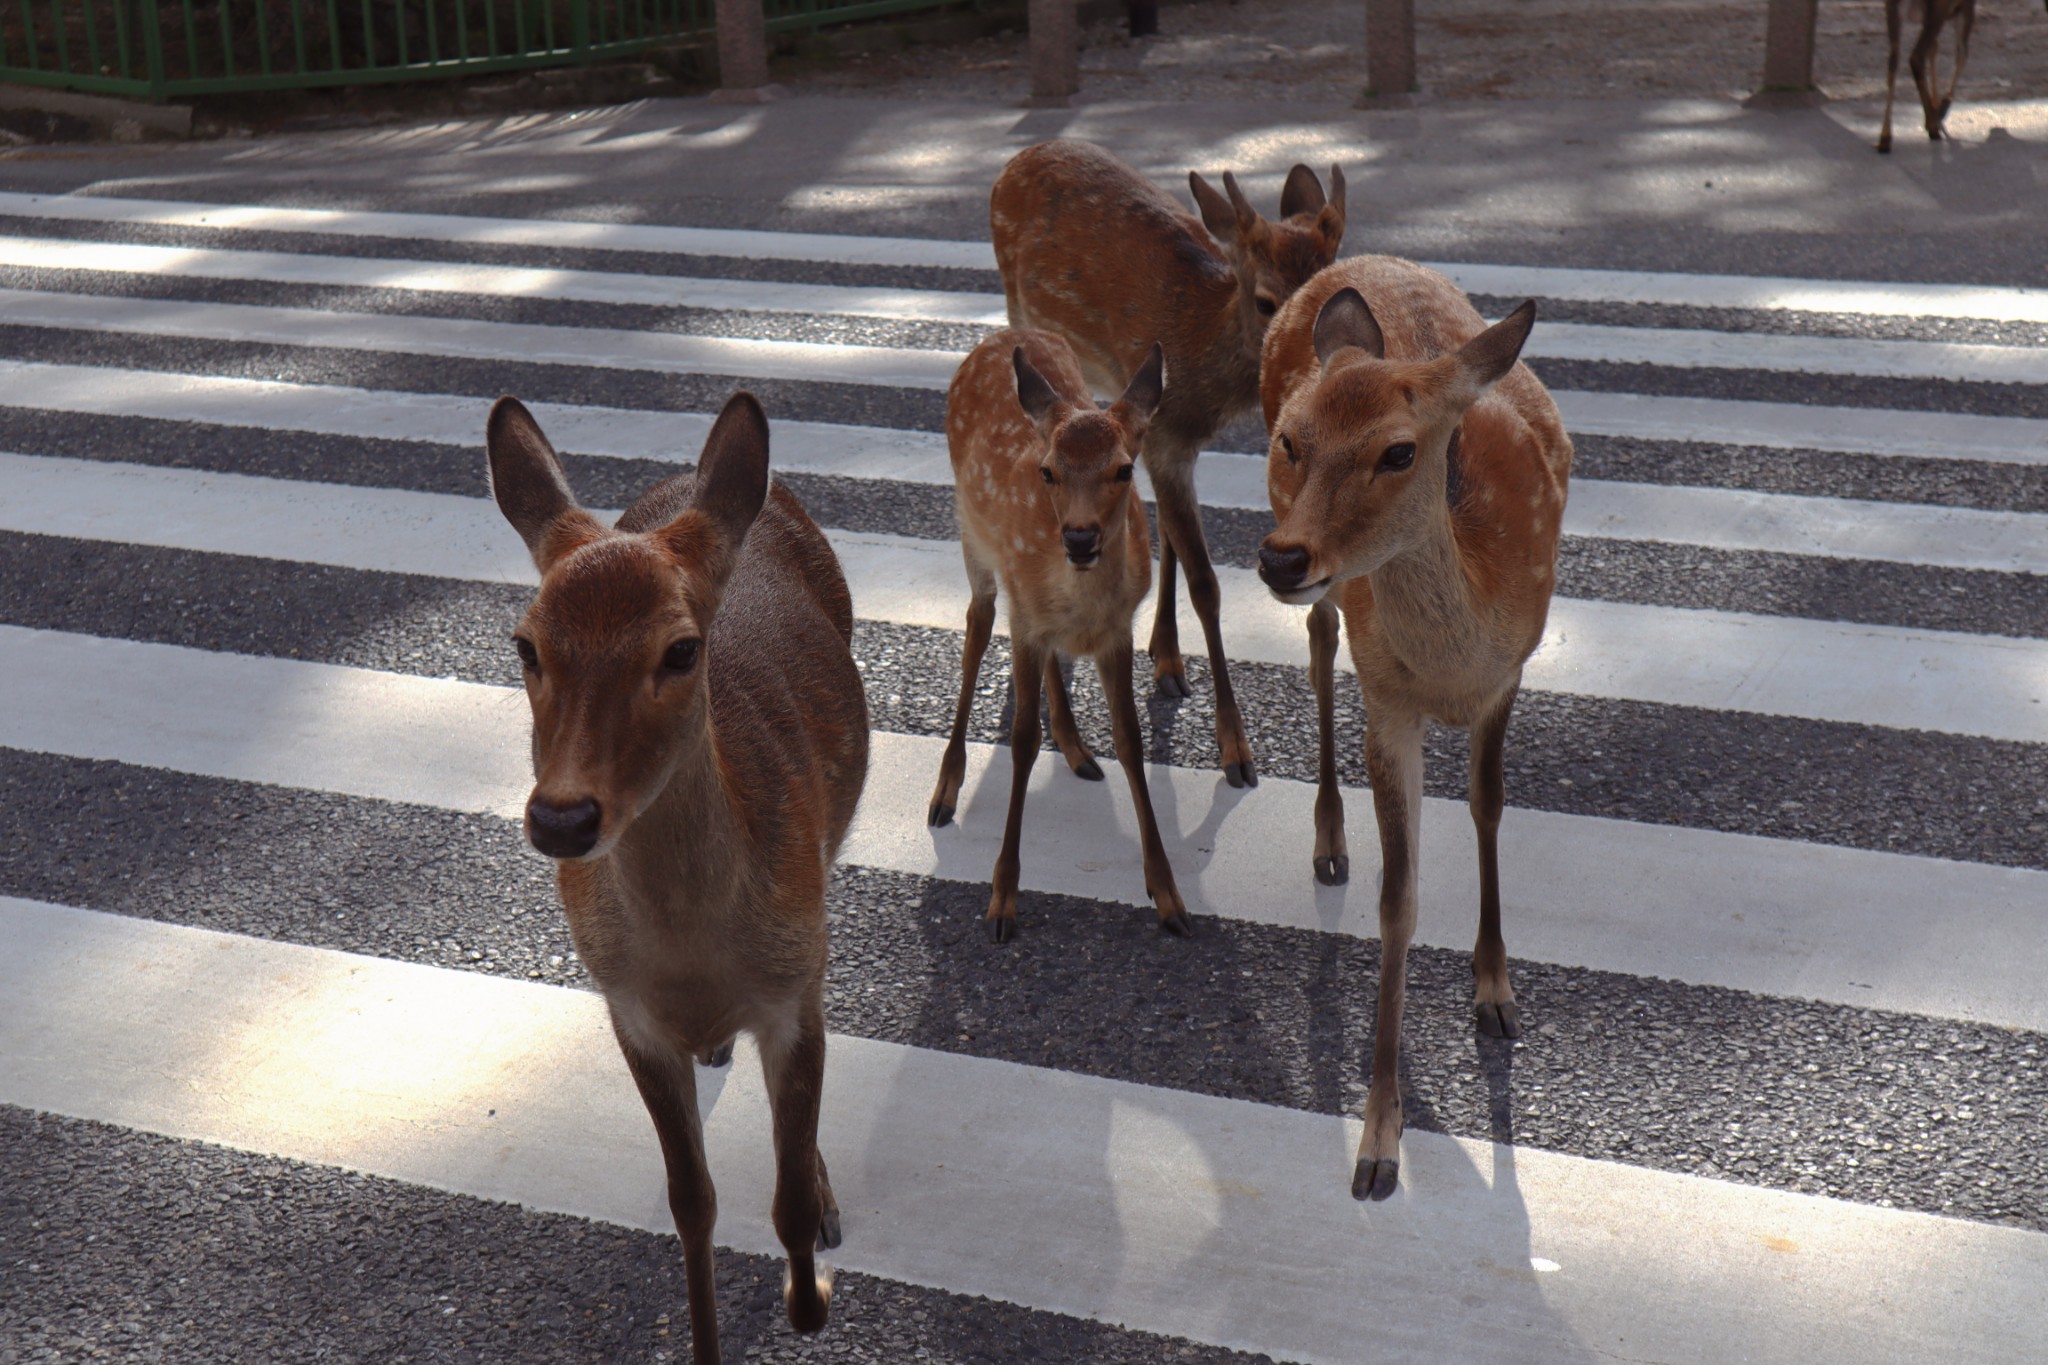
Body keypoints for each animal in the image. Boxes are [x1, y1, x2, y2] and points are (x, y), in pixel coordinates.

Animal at [489, 388, 872, 1358]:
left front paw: (814, 1289)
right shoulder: (627, 1009)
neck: (693, 960)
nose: (563, 816)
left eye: (681, 649)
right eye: (526, 645)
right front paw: (703, 1342)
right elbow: (690, 1202)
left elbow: (782, 1198)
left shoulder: (790, 988)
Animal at [925, 327, 1196, 945]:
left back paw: (1075, 748)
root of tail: (1002, 334)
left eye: (1124, 470)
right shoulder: (1024, 618)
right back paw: (946, 788)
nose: (1078, 536)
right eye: (1047, 471)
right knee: (976, 626)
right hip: (971, 537)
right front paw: (1002, 897)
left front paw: (1167, 893)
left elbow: (1131, 740)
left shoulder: (1117, 630)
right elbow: (1022, 740)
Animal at [987, 136, 1343, 789]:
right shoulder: (1165, 439)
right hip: (1015, 307)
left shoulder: (1167, 439)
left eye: (1339, 285)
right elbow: (1206, 581)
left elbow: (1170, 537)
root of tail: (1026, 152)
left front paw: (1169, 659)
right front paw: (1236, 750)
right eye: (1266, 301)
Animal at [1245, 261, 1564, 1203]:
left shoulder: (1511, 669)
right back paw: (1328, 839)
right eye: (1293, 439)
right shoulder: (1388, 693)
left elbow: (1490, 806)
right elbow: (1397, 899)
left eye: (1398, 450)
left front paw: (1495, 988)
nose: (1280, 557)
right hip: (1330, 597)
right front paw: (1378, 1140)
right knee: (1319, 647)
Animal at [1875, 0, 1974, 152]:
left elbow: (1934, 49)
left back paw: (1885, 137)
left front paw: (1935, 105)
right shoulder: (1967, 6)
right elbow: (1961, 55)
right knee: (1916, 57)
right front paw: (1942, 106)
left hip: (1892, 7)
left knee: (1893, 60)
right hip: (1938, 10)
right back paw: (1933, 127)